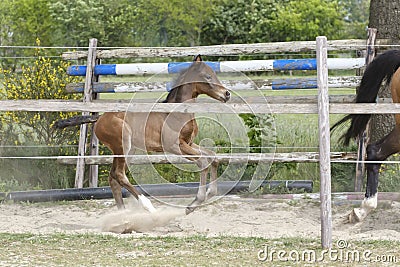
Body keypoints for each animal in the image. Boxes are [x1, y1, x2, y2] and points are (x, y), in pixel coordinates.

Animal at [56, 56, 231, 216]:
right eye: (207, 76)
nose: (227, 94)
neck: (177, 113)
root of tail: (99, 118)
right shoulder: (175, 146)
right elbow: (203, 162)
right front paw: (195, 202)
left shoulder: (189, 143)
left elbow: (213, 157)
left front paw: (209, 194)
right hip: (122, 145)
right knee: (119, 175)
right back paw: (149, 207)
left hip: (128, 150)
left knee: (113, 177)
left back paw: (123, 214)